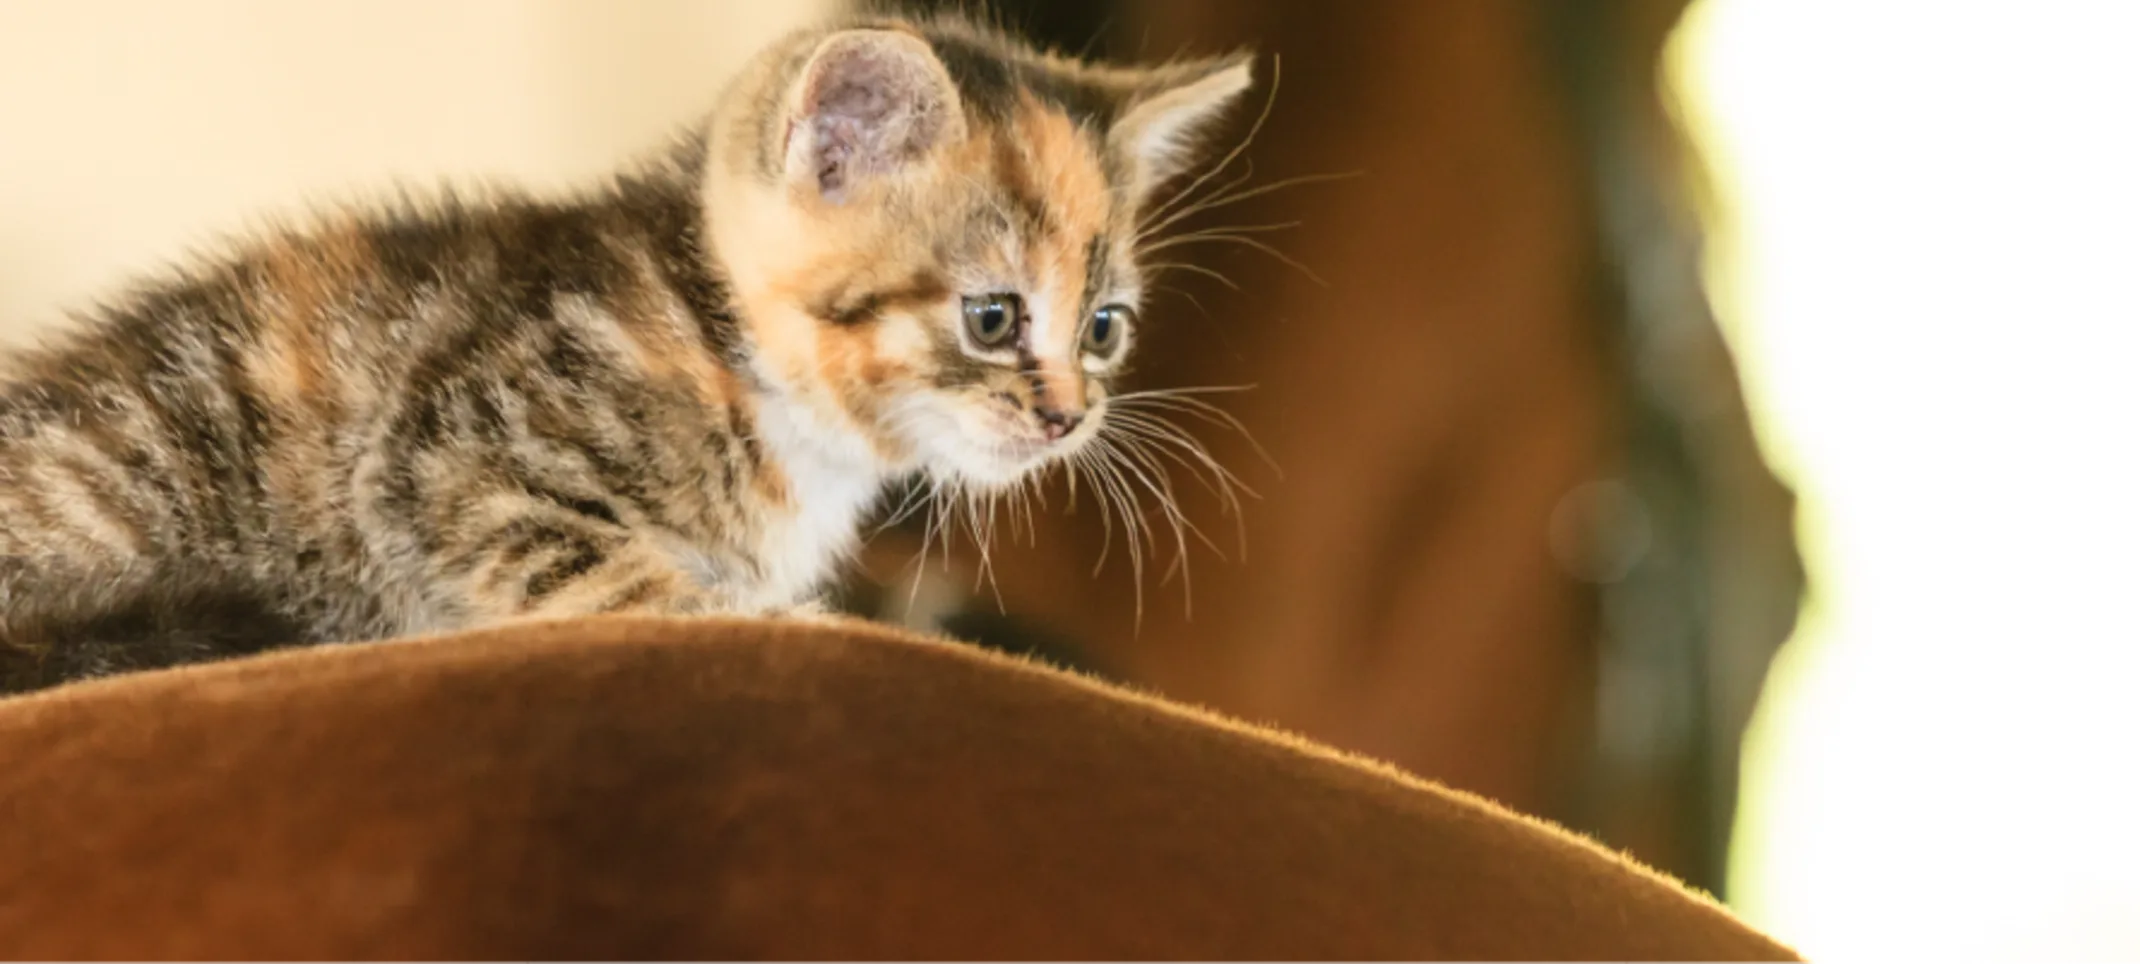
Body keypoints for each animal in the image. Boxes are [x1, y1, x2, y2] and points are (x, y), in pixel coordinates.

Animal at [0, 16, 1249, 694]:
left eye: (1103, 328)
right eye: (991, 318)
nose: (1068, 415)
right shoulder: (450, 468)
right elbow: (629, 586)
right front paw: (786, 625)